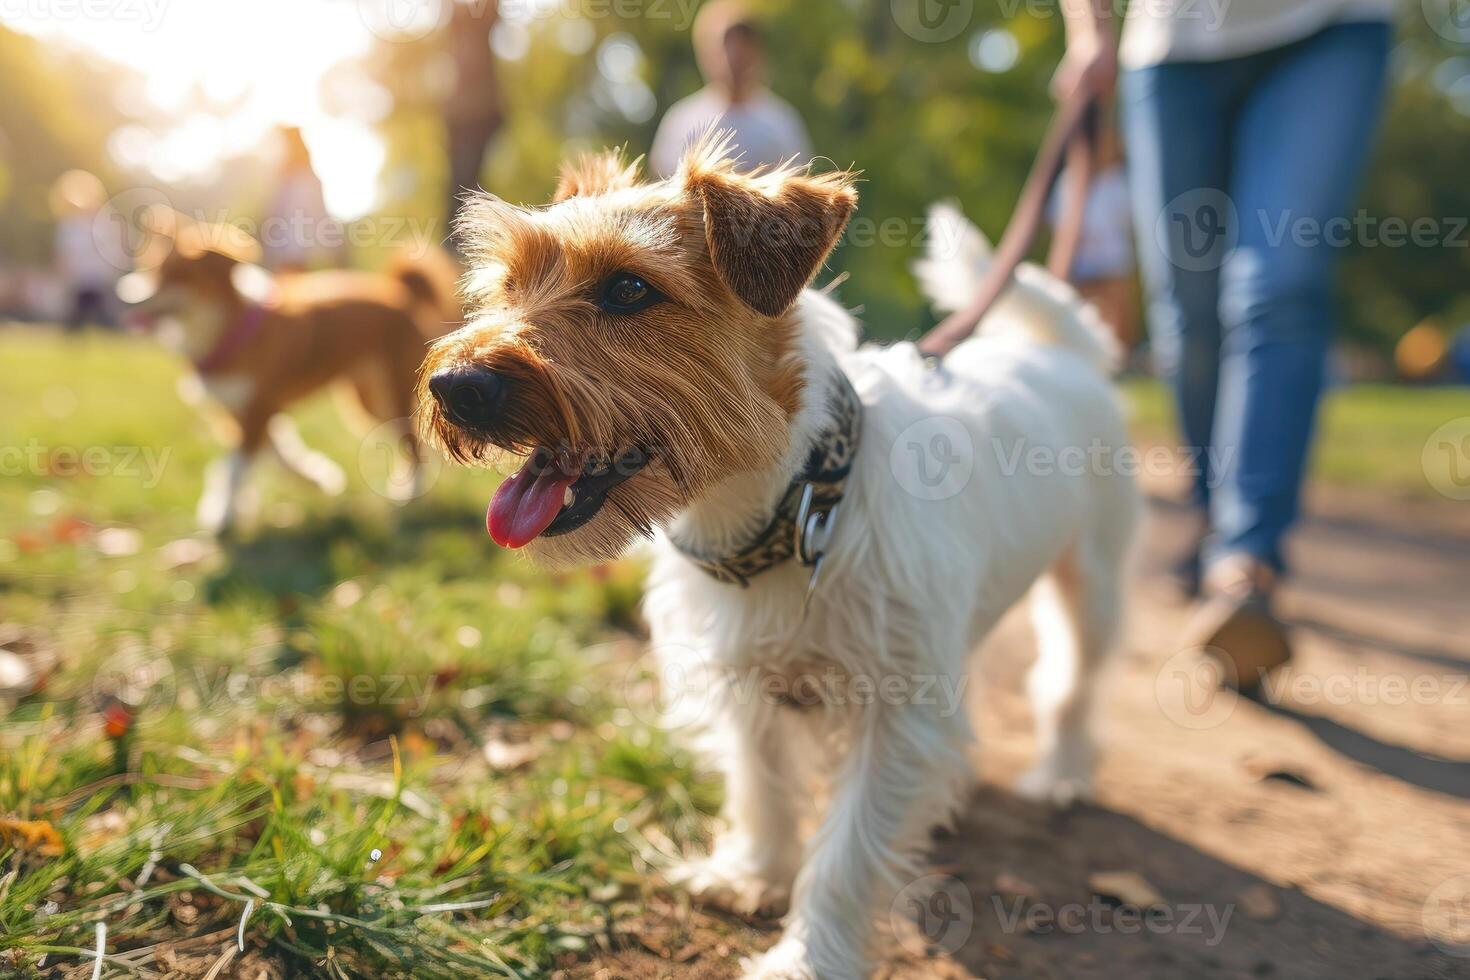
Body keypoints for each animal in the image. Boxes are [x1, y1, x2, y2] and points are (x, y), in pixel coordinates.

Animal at [119, 208, 458, 537]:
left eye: (177, 275)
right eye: (152, 269)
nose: (127, 297)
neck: (228, 330)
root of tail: (402, 293)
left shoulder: (257, 410)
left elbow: (235, 468)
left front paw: (224, 516)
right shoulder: (240, 413)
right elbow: (270, 457)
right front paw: (313, 479)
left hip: (391, 392)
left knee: (411, 440)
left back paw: (409, 496)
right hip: (367, 399)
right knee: (412, 436)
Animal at [420, 134, 1140, 975]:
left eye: (628, 289)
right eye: (507, 285)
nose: (453, 385)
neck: (795, 503)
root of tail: (1062, 354)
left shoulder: (893, 712)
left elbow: (846, 855)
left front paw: (807, 957)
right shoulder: (744, 679)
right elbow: (760, 785)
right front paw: (753, 874)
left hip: (1092, 583)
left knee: (1070, 680)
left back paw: (1061, 776)